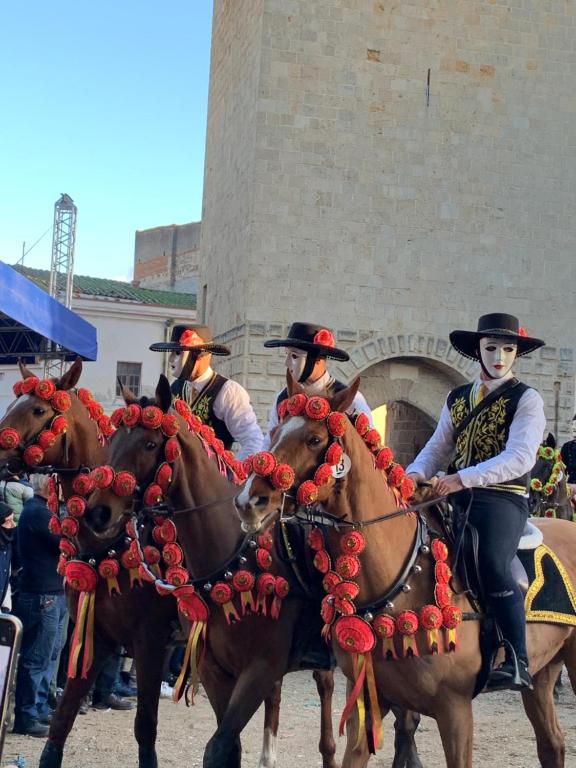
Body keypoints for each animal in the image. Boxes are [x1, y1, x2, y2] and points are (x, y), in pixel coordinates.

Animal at [0, 359, 177, 768]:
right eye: (14, 401)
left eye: (38, 409)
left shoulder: (151, 640)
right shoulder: (92, 632)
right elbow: (62, 718)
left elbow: (146, 728)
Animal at [235, 374, 576, 768]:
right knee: (552, 744)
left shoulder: (455, 711)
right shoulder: (368, 702)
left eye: (315, 439)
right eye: (274, 432)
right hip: (542, 673)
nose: (249, 501)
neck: (403, 575)